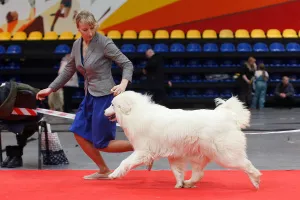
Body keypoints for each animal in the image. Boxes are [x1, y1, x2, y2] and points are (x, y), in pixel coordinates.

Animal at [104, 90, 262, 189]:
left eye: (112, 105)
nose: (104, 111)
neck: (136, 113)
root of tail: (228, 115)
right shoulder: (175, 155)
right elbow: (177, 171)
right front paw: (179, 184)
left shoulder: (143, 151)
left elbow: (125, 162)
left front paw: (114, 174)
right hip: (199, 156)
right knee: (198, 174)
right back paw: (188, 183)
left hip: (226, 155)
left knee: (246, 165)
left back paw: (256, 180)